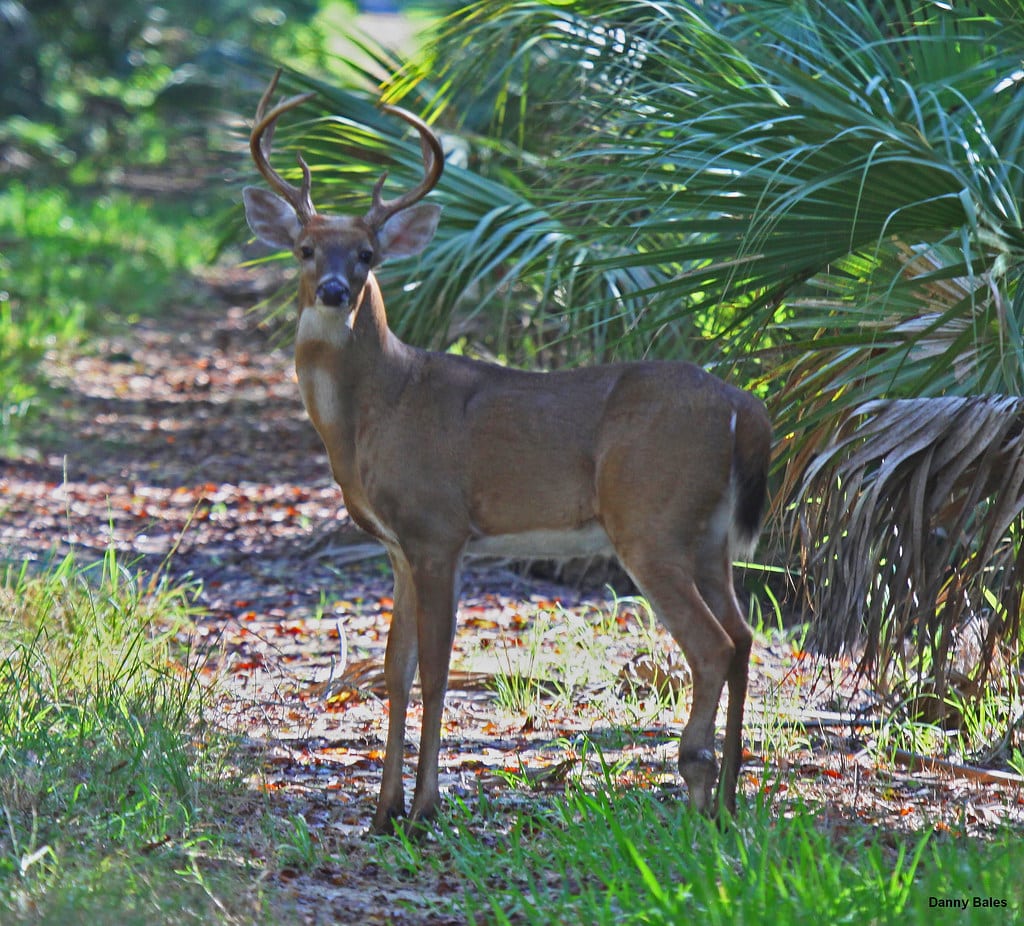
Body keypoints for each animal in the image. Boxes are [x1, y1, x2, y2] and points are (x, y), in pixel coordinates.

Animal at [242, 71, 772, 835]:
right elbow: (394, 668)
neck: (382, 405)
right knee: (744, 635)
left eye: (368, 254)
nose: (337, 291)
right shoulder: (398, 545)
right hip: (710, 535)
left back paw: (697, 790)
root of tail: (745, 408)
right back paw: (729, 799)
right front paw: (383, 810)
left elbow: (435, 670)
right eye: (305, 249)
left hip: (650, 518)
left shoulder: (438, 528)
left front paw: (424, 808)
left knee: (713, 644)